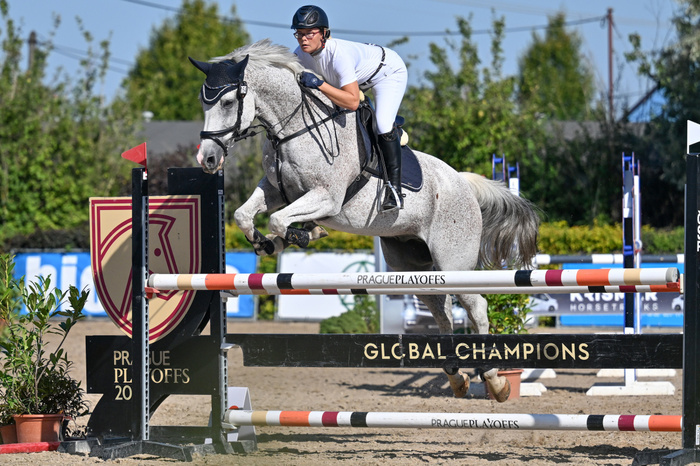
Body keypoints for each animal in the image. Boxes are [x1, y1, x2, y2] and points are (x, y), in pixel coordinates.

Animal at [189, 39, 540, 401]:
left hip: (454, 263)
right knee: (442, 313)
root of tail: (464, 183)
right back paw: (456, 376)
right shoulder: (275, 191)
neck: (292, 129)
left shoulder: (326, 197)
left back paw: (495, 379)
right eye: (204, 101)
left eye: (228, 102)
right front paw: (266, 243)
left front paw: (303, 235)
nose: (207, 159)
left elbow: (278, 220)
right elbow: (244, 214)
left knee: (477, 307)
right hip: (412, 267)